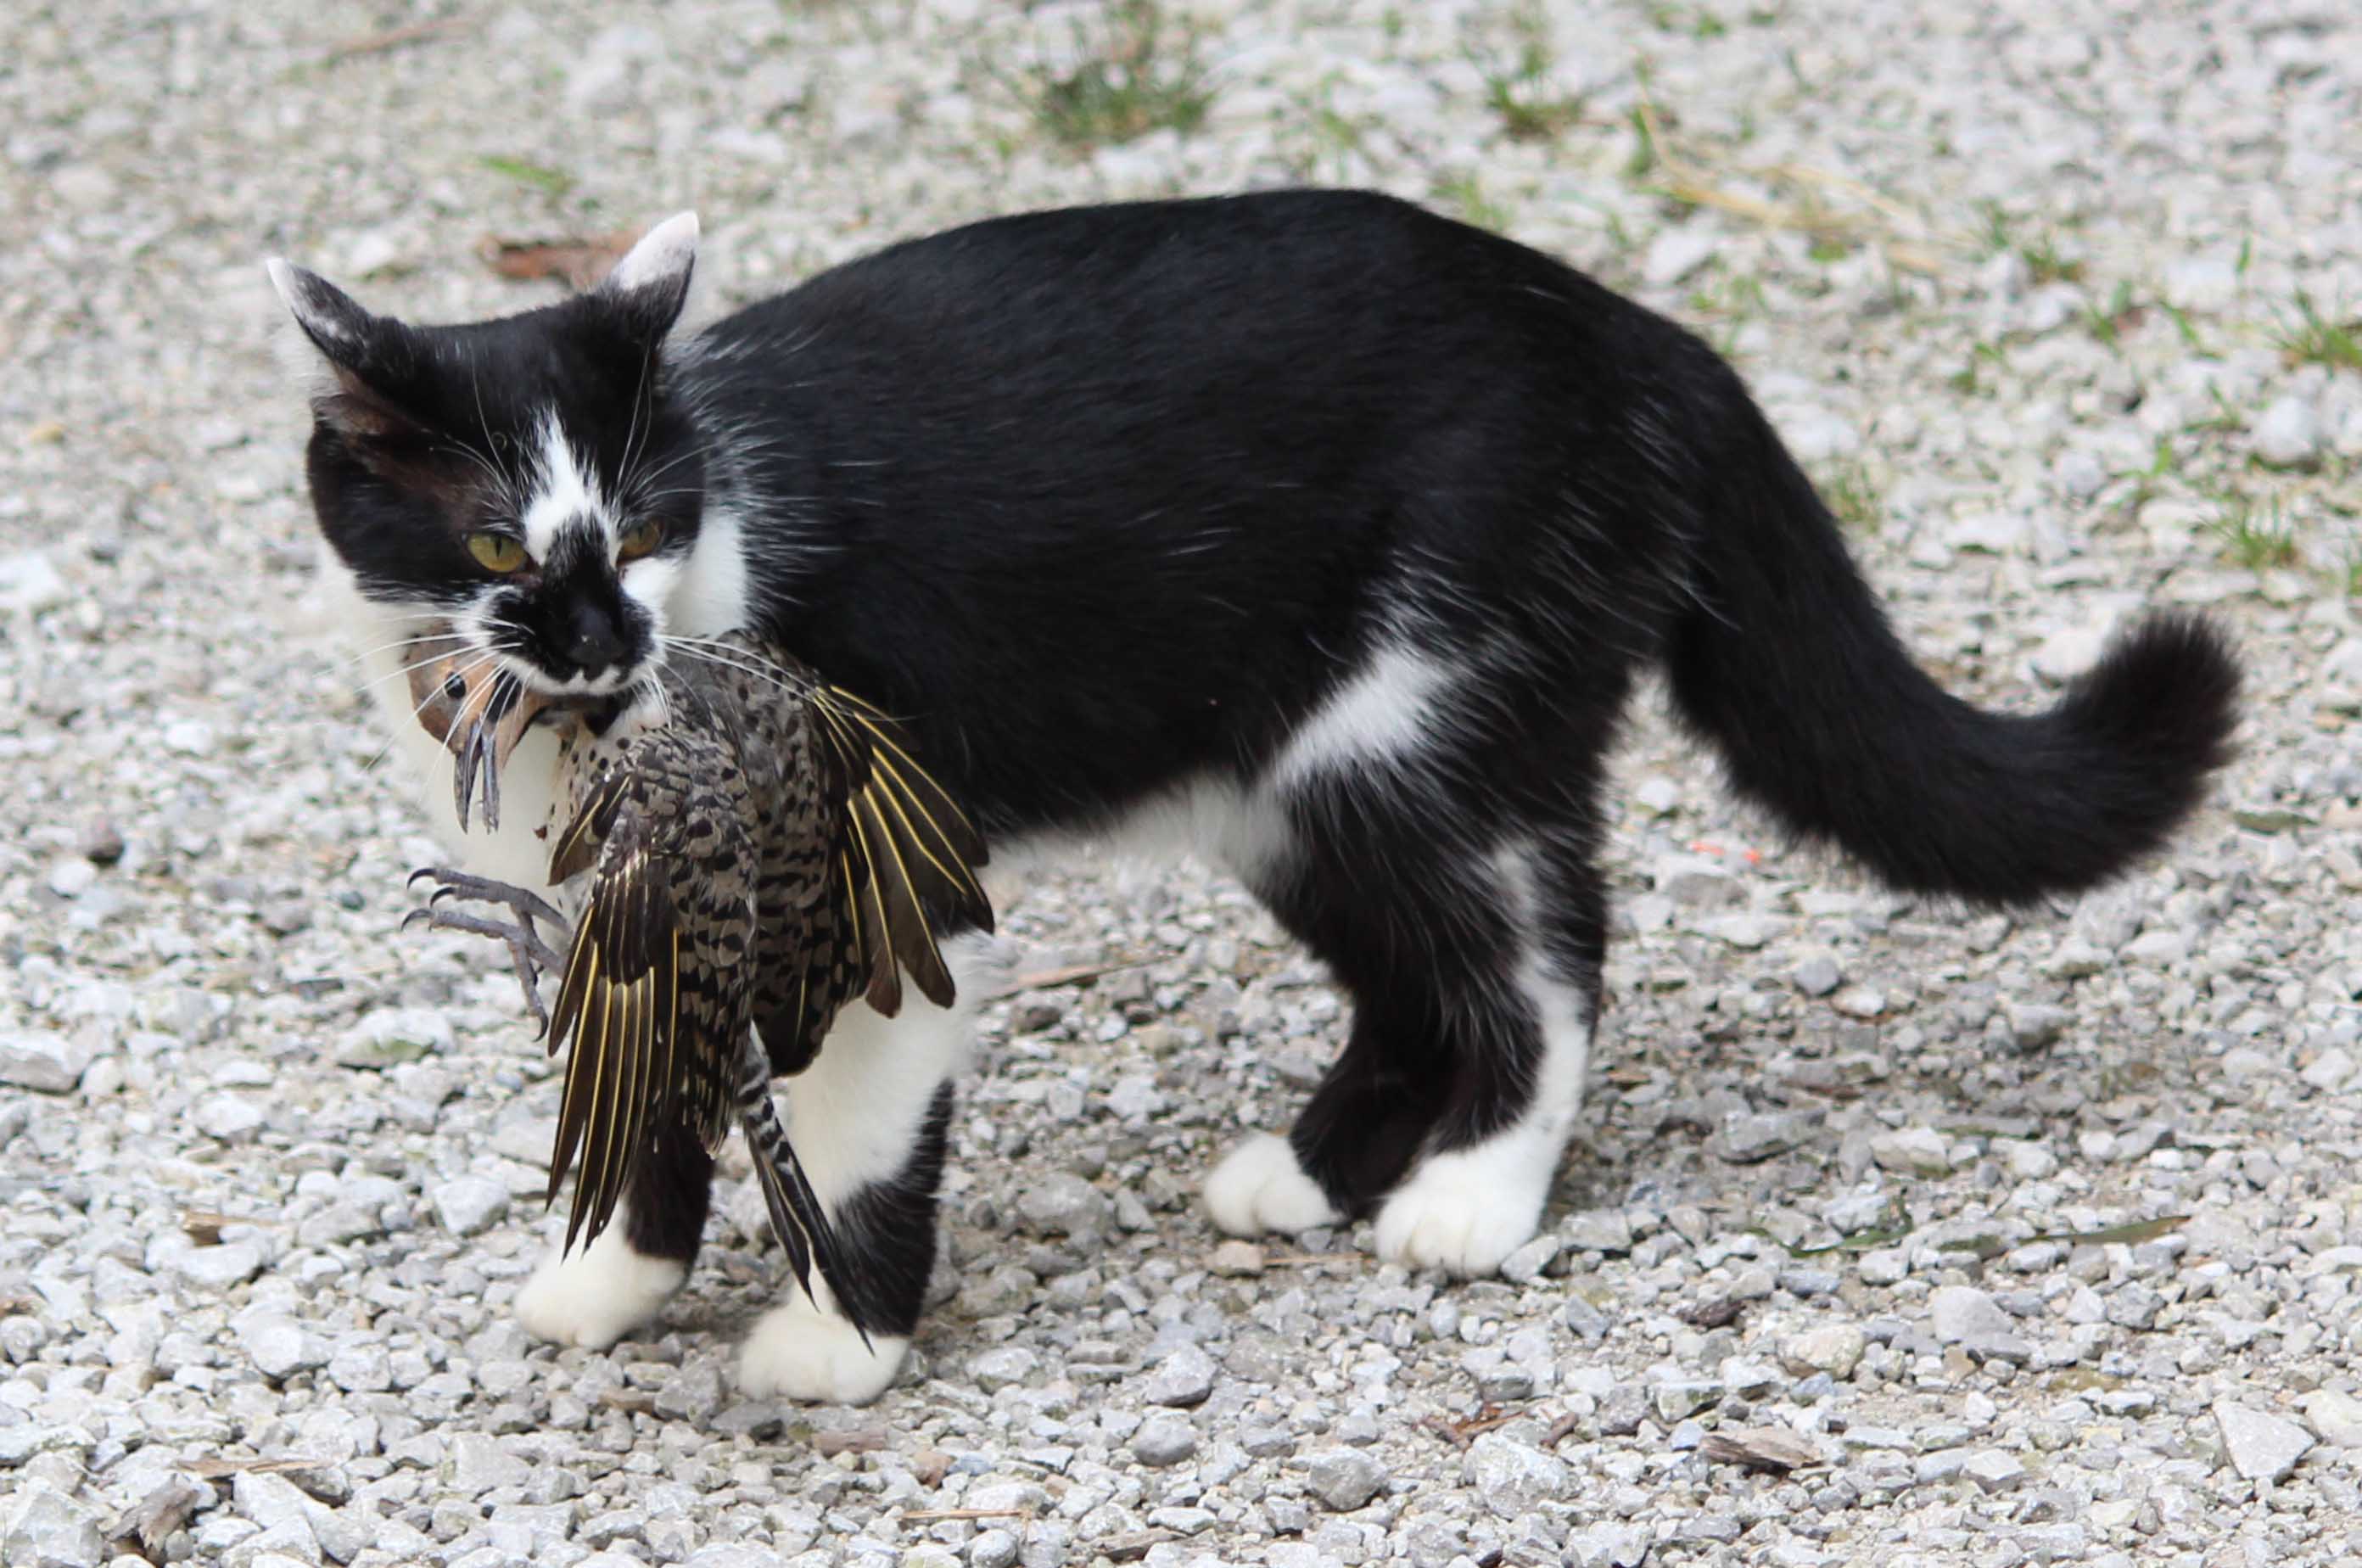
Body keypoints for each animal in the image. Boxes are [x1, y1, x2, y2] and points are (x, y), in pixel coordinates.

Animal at [270, 189, 2239, 1404]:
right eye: (491, 548)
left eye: (654, 523)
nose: (611, 638)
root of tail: (1630, 329)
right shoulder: (632, 903)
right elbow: (646, 1083)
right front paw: (616, 1280)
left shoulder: (893, 901)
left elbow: (854, 1138)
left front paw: (841, 1338)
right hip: (1285, 784)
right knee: (1415, 975)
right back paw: (1312, 1175)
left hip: (1418, 734)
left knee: (1547, 954)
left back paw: (1473, 1198)